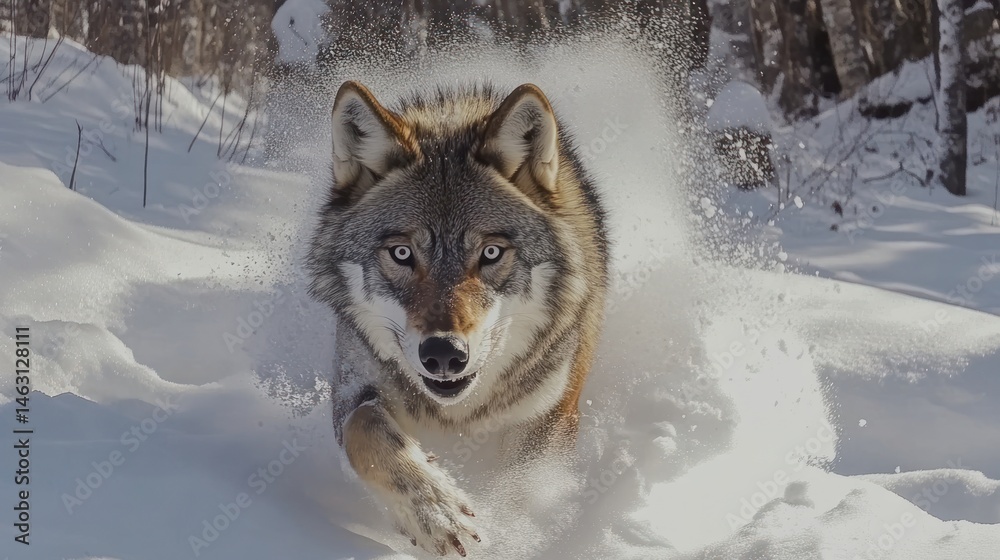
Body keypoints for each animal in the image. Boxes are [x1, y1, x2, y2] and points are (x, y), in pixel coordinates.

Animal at [307, 80, 609, 556]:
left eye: (490, 253)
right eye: (402, 253)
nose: (444, 354)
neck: (458, 414)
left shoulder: (549, 424)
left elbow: (518, 492)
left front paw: (517, 535)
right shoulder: (353, 387)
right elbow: (367, 430)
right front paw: (436, 513)